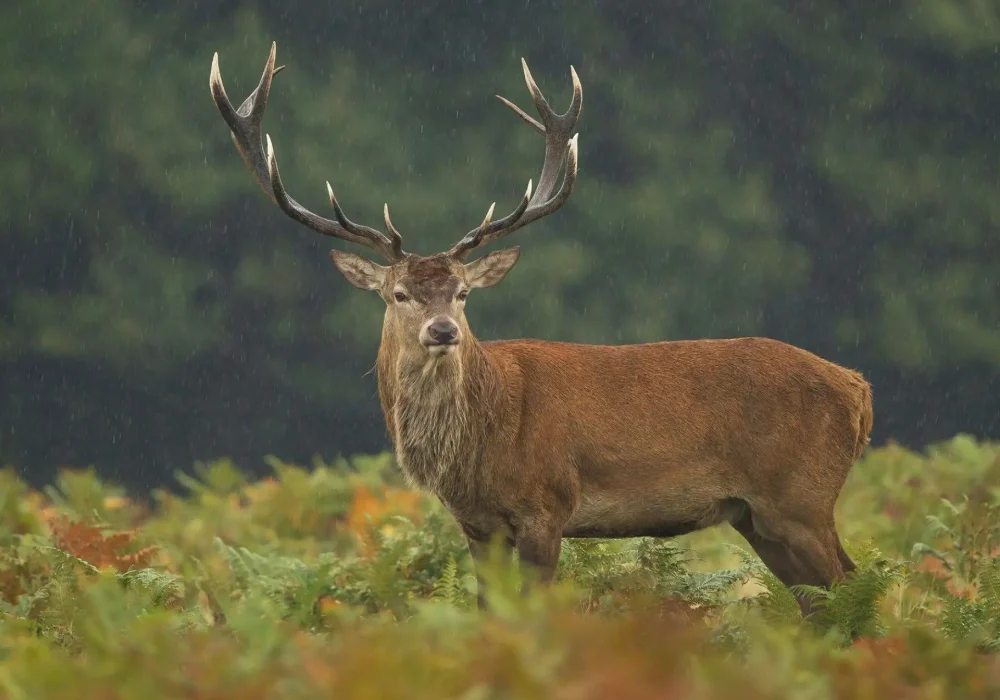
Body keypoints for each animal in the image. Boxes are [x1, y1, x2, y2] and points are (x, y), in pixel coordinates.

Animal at [209, 42, 874, 617]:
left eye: (463, 293)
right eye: (399, 294)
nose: (444, 330)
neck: (481, 443)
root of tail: (858, 388)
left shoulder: (546, 504)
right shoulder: (477, 526)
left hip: (801, 496)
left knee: (852, 587)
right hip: (757, 516)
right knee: (825, 601)